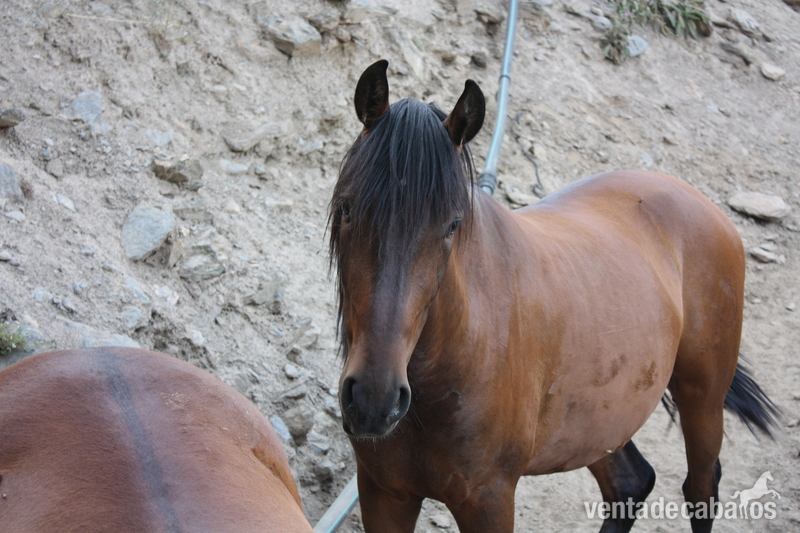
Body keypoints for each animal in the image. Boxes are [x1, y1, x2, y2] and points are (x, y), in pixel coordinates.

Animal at [328, 60, 779, 533]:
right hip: (600, 417)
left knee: (701, 486)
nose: (374, 400)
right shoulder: (384, 492)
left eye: (452, 225)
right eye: (347, 208)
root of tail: (701, 204)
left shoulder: (488, 500)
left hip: (703, 397)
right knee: (631, 482)